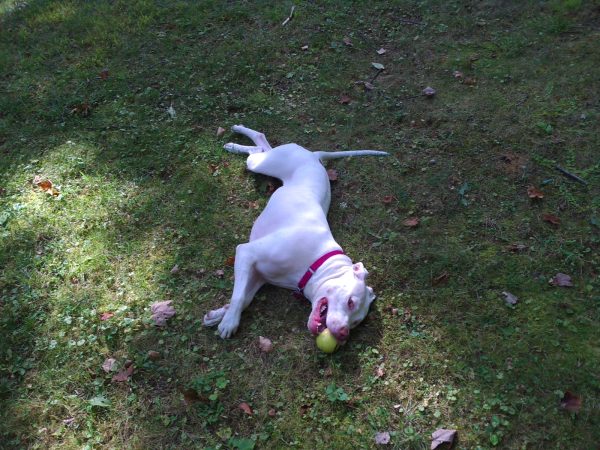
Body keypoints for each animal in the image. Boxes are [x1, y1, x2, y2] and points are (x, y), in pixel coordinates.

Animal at [203, 125, 390, 342]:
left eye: (356, 323)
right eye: (351, 302)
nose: (343, 334)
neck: (314, 262)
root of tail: (313, 155)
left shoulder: (258, 276)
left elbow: (244, 299)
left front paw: (219, 314)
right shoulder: (246, 252)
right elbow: (239, 295)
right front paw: (229, 321)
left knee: (262, 146)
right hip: (263, 164)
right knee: (259, 145)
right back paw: (235, 140)